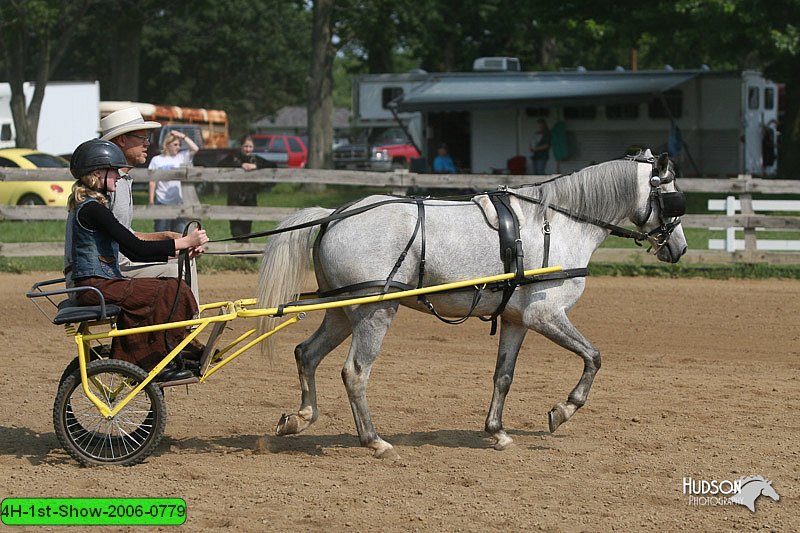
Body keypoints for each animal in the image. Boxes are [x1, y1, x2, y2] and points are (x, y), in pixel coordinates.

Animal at [256, 153, 688, 458]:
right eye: (672, 198)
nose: (679, 248)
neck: (558, 224)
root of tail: (335, 214)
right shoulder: (545, 315)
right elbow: (593, 357)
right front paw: (563, 410)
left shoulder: (516, 320)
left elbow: (504, 377)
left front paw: (497, 431)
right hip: (374, 312)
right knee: (355, 372)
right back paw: (374, 440)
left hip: (341, 311)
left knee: (307, 354)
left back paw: (299, 419)